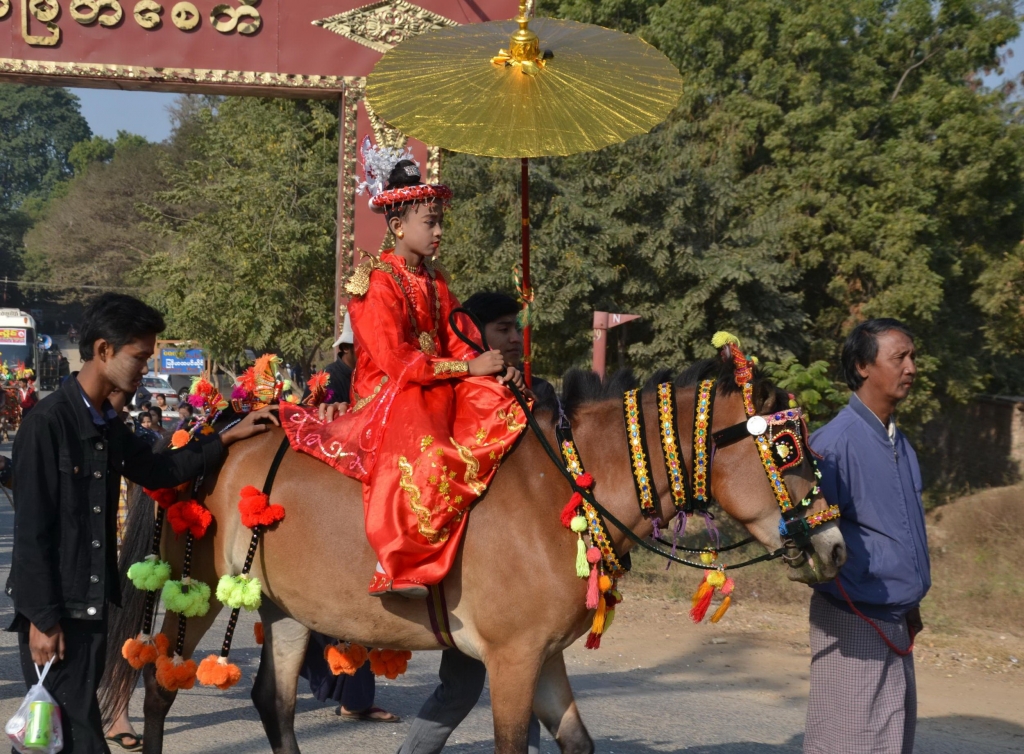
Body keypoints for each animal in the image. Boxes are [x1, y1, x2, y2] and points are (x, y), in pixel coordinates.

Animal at [112, 356, 847, 749]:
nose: (835, 545)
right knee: (161, 686)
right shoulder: (513, 657)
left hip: (287, 607)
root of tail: (208, 431)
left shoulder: (543, 657)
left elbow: (577, 742)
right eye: (788, 450)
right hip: (199, 590)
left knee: (274, 702)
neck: (565, 488)